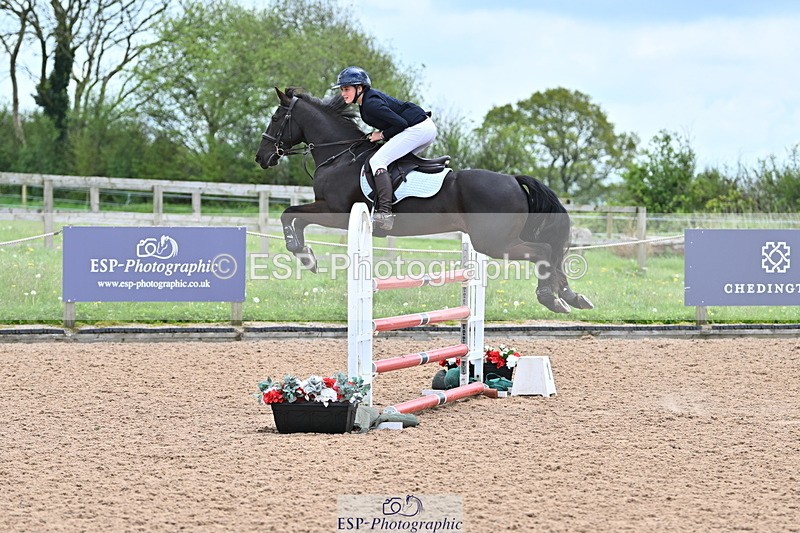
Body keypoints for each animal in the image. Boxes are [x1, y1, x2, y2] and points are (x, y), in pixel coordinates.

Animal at [255, 87, 593, 313]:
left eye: (275, 118)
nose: (261, 157)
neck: (340, 155)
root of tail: (513, 180)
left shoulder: (335, 211)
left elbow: (290, 213)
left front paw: (303, 254)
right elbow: (294, 216)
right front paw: (307, 255)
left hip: (493, 242)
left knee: (544, 251)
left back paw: (551, 299)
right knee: (554, 252)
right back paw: (571, 296)